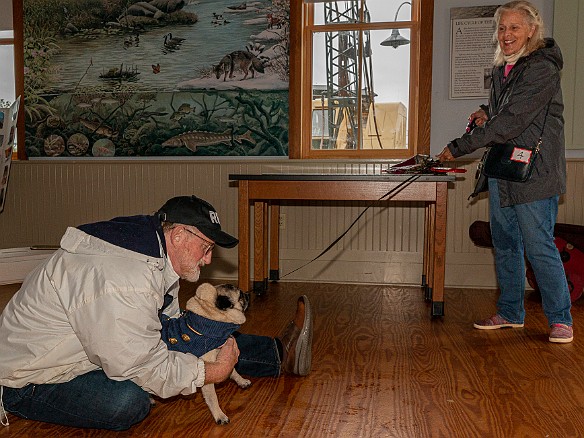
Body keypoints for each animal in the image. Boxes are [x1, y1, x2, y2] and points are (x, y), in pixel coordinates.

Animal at [186, 284, 252, 424]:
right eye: (240, 296)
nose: (248, 294)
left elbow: (232, 370)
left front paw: (241, 381)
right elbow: (212, 398)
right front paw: (219, 415)